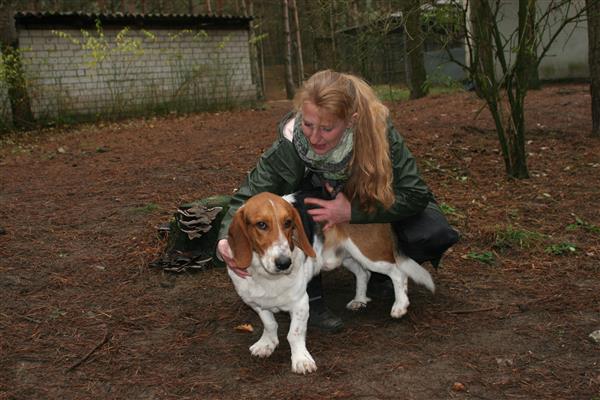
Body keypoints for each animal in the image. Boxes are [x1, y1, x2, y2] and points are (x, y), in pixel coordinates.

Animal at [227, 192, 320, 374]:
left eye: (288, 223)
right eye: (261, 224)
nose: (284, 263)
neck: (268, 276)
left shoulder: (300, 304)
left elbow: (294, 334)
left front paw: (301, 359)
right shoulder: (255, 302)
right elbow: (269, 324)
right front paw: (267, 343)